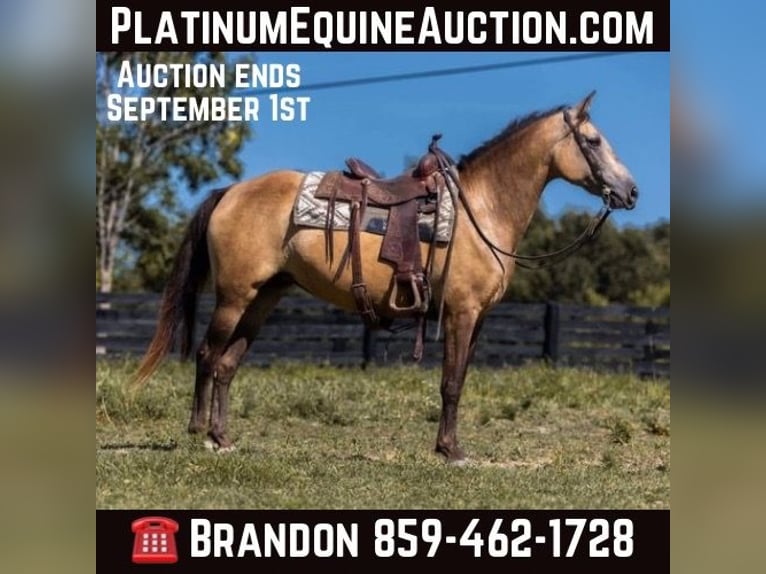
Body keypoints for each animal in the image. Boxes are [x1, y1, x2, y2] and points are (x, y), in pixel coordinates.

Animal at [136, 91, 638, 463]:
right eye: (593, 141)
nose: (631, 191)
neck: (481, 209)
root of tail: (230, 192)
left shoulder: (478, 318)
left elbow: (460, 379)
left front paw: (448, 446)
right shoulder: (460, 313)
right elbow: (451, 382)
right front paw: (450, 451)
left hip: (264, 298)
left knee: (226, 365)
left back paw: (223, 438)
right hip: (235, 297)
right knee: (207, 355)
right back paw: (200, 432)